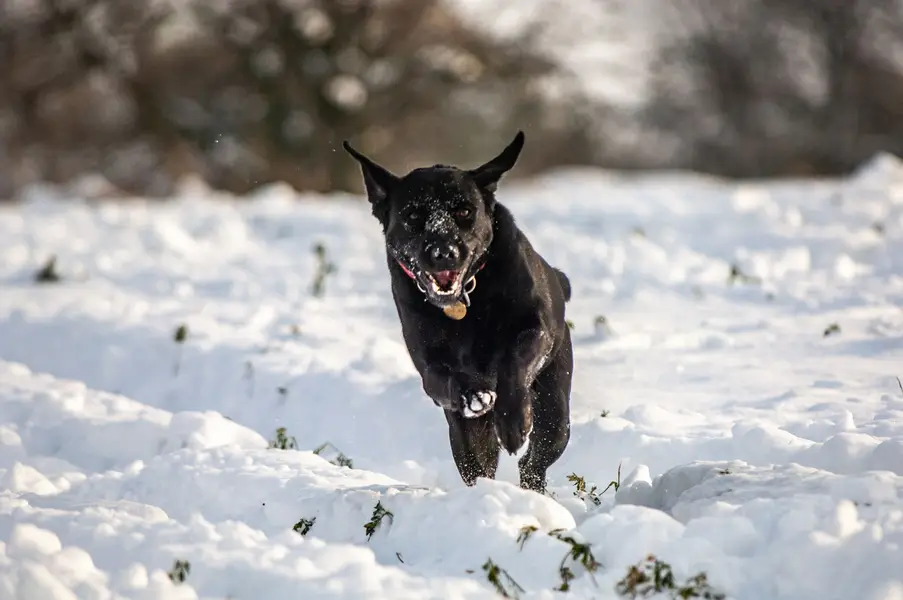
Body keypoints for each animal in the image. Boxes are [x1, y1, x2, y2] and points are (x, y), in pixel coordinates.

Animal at [342, 132, 576, 492]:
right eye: (413, 215)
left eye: (464, 210)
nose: (444, 252)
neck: (468, 298)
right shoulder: (429, 364)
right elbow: (447, 378)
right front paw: (474, 394)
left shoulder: (534, 329)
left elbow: (514, 361)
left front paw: (512, 420)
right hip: (464, 437)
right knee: (478, 467)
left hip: (555, 412)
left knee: (533, 462)